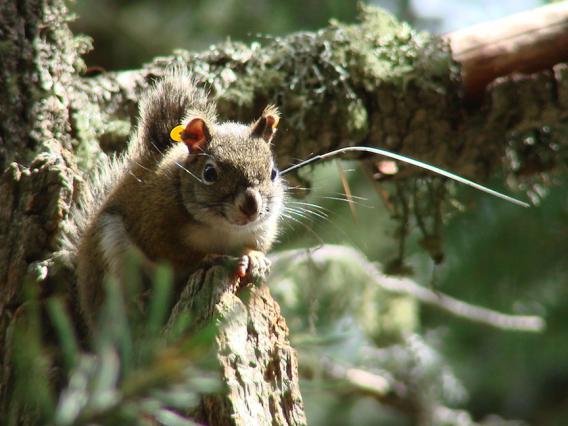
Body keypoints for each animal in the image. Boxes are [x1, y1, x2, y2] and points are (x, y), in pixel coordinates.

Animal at [71, 70, 284, 330]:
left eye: (273, 173)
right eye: (209, 173)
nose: (251, 207)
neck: (221, 228)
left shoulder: (261, 231)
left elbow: (255, 247)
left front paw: (255, 258)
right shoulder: (152, 224)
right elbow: (171, 254)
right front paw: (212, 258)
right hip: (109, 253)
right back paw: (139, 302)